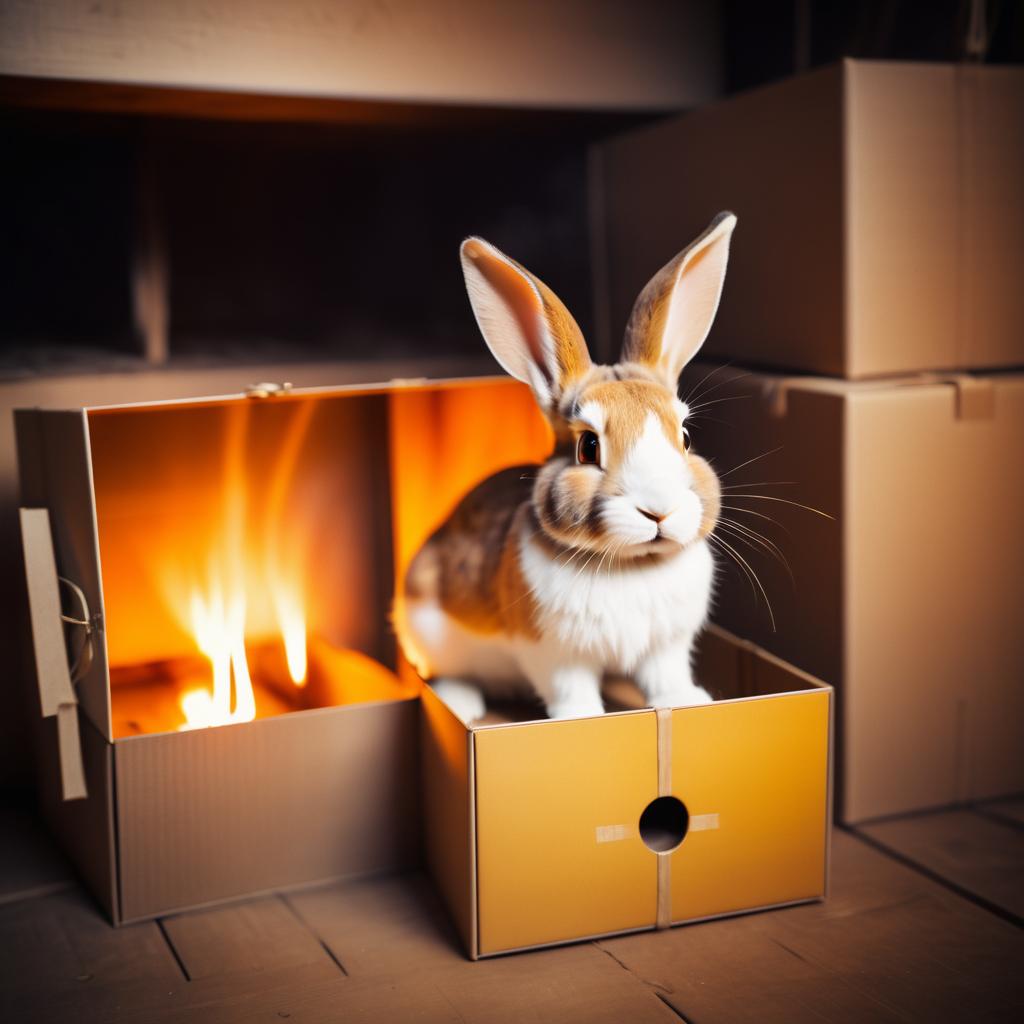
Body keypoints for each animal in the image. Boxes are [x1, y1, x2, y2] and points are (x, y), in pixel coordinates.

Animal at [393, 211, 737, 724]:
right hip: (429, 626)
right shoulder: (553, 653)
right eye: (588, 447)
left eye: (686, 437)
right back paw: (464, 705)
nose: (658, 511)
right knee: (446, 673)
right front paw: (582, 718)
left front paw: (689, 702)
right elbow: (569, 686)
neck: (631, 564)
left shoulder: (666, 647)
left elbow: (665, 677)